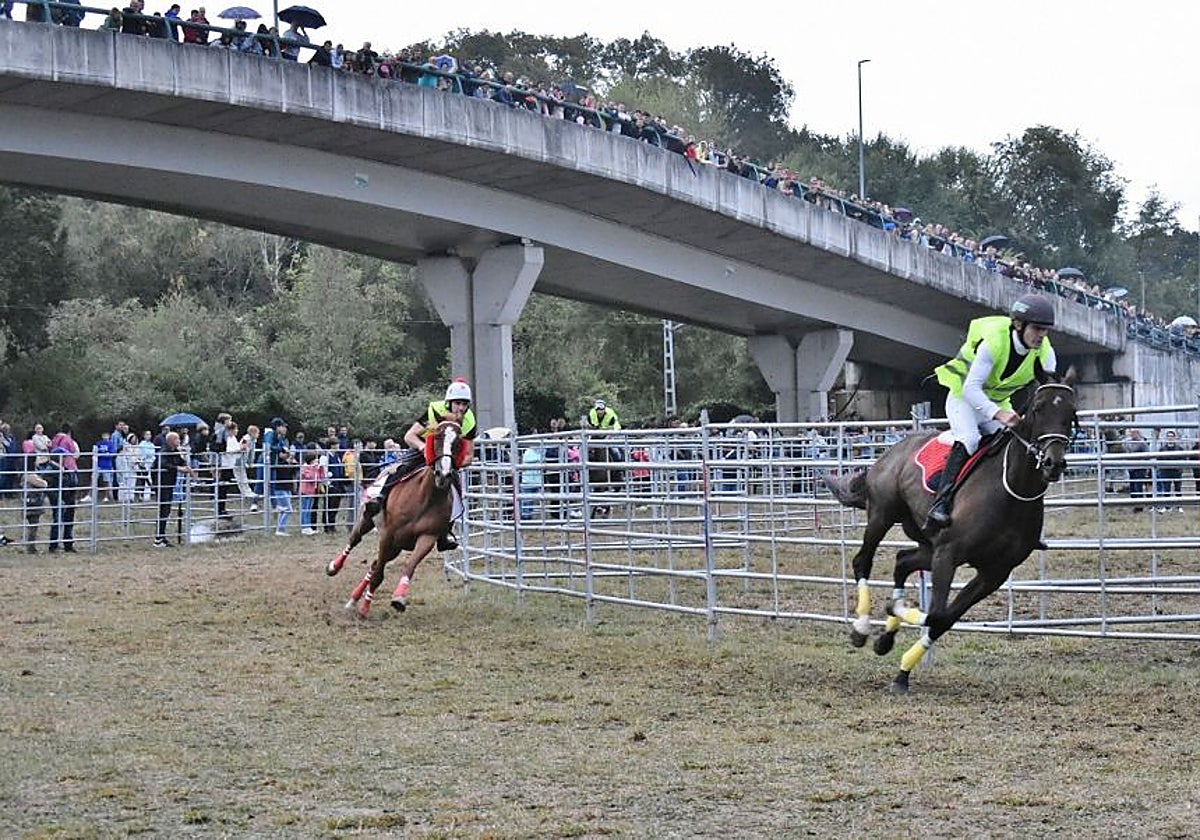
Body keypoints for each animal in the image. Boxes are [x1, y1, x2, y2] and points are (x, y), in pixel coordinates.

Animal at [326, 420, 462, 618]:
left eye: (458, 442)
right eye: (436, 437)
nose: (443, 475)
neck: (425, 497)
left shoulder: (427, 537)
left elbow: (409, 566)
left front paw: (398, 598)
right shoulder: (387, 535)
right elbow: (378, 576)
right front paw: (364, 609)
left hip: (397, 546)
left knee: (374, 564)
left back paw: (353, 599)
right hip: (369, 521)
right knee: (355, 541)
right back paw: (334, 567)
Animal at [823, 372, 1078, 694]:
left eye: (1071, 411)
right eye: (1038, 408)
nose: (1053, 463)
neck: (1010, 491)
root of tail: (892, 451)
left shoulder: (994, 572)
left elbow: (943, 618)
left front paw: (902, 668)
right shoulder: (949, 554)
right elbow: (935, 613)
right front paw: (894, 622)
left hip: (926, 543)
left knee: (902, 560)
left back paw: (885, 637)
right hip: (882, 515)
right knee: (862, 561)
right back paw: (861, 629)